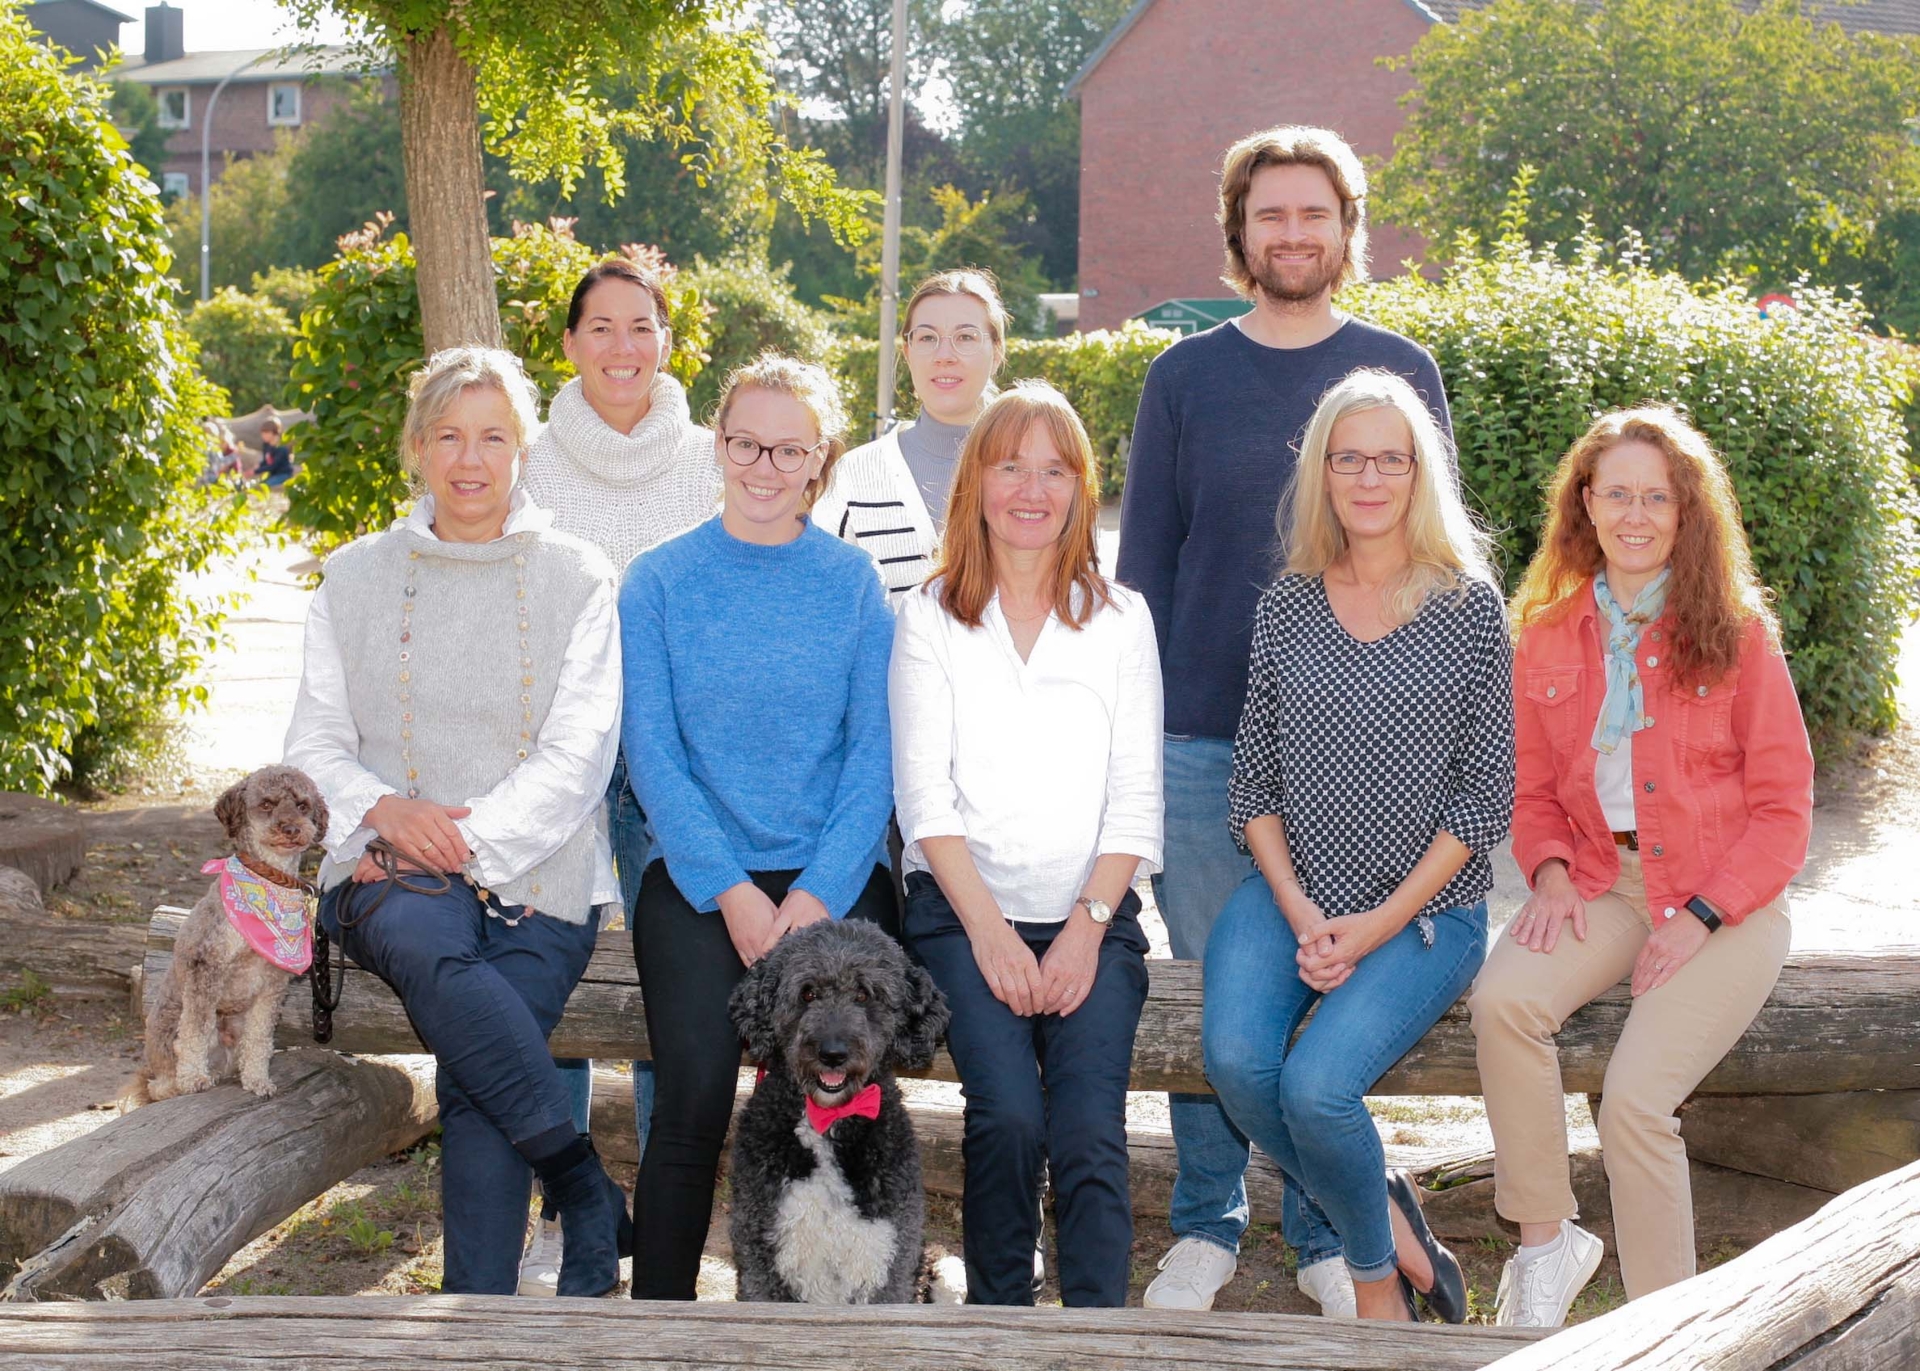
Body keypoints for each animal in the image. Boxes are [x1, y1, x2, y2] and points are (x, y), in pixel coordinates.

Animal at [135, 765, 326, 1103]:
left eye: (302, 805)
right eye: (266, 804)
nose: (291, 828)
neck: (269, 879)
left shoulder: (271, 986)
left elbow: (259, 1038)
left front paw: (257, 1079)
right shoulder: (206, 967)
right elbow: (195, 1031)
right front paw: (194, 1078)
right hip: (170, 1027)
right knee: (159, 1083)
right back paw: (184, 1079)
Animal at [727, 918, 950, 1304]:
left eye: (864, 994)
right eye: (807, 993)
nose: (833, 1053)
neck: (827, 1123)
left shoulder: (888, 1257)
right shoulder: (762, 1258)